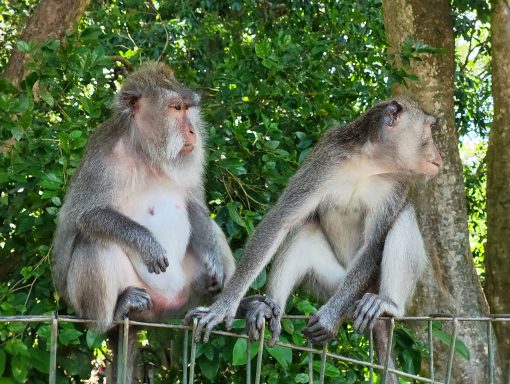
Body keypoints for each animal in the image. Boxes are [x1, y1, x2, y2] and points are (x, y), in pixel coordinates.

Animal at [51, 63, 235, 380]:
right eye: (176, 108)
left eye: (188, 108)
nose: (192, 131)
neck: (148, 153)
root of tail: (163, 309)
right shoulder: (102, 159)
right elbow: (83, 215)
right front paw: (147, 244)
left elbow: (195, 207)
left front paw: (215, 262)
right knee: (93, 243)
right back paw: (114, 315)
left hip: (186, 294)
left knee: (212, 231)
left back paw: (236, 308)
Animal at [186, 97, 442, 380]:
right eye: (429, 130)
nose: (439, 153)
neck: (368, 165)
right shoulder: (325, 160)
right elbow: (281, 220)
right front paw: (223, 306)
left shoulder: (397, 183)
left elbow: (373, 245)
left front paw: (329, 318)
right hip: (332, 284)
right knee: (304, 230)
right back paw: (270, 307)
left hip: (360, 290)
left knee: (404, 215)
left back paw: (388, 304)